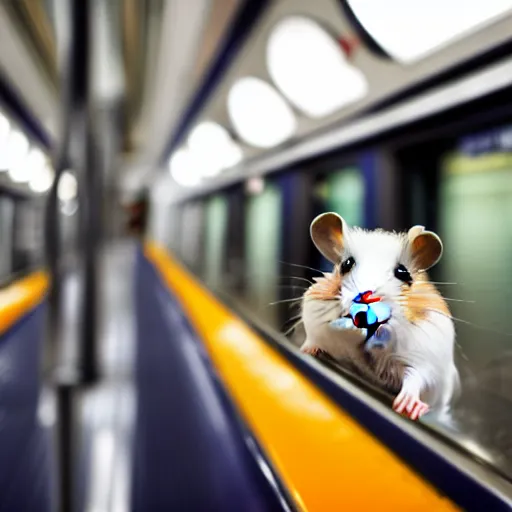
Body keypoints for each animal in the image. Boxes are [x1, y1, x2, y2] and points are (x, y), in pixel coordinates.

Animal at [300, 212, 460, 420]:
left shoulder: (427, 356)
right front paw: (306, 350)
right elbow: (313, 338)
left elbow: (415, 377)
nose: (366, 296)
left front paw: (406, 407)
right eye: (346, 264)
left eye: (403, 272)